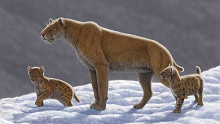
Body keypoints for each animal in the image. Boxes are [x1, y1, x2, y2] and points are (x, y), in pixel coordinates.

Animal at [40, 17, 183, 110]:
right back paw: (138, 106)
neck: (74, 36)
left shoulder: (101, 65)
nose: (42, 34)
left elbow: (102, 87)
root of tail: (166, 50)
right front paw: (95, 104)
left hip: (162, 74)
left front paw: (101, 107)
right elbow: (95, 88)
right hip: (144, 74)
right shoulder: (92, 68)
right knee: (148, 92)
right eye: (46, 27)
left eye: (52, 28)